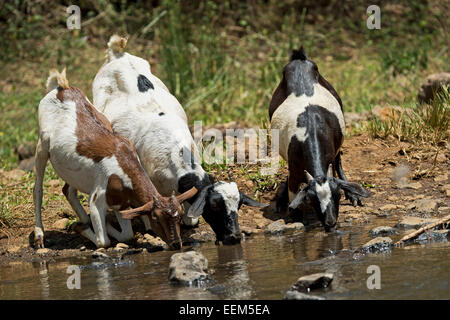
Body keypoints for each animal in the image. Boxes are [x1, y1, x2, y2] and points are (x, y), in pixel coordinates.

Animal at [34, 69, 196, 249]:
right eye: (157, 219)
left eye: (179, 216)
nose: (176, 244)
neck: (123, 167)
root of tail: (62, 88)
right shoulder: (97, 198)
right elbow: (103, 241)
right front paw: (81, 228)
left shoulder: (120, 202)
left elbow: (127, 234)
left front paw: (95, 225)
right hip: (41, 146)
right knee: (38, 190)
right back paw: (39, 235)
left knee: (67, 190)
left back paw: (83, 219)